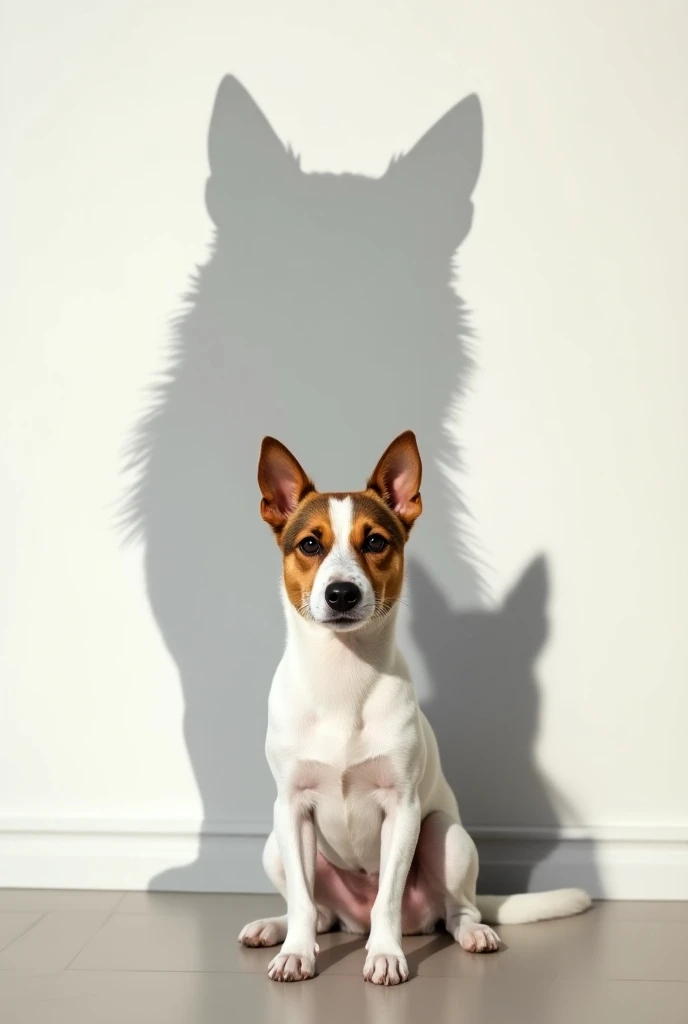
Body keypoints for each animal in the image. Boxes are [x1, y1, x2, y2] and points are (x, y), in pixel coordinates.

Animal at [239, 432, 589, 983]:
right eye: (310, 544)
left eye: (376, 542)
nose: (342, 593)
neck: (343, 676)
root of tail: (352, 920)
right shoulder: (291, 808)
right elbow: (302, 900)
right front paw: (295, 952)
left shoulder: (401, 809)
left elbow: (387, 896)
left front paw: (386, 955)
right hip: (275, 844)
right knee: (316, 911)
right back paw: (275, 929)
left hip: (446, 837)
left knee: (455, 909)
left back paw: (472, 934)